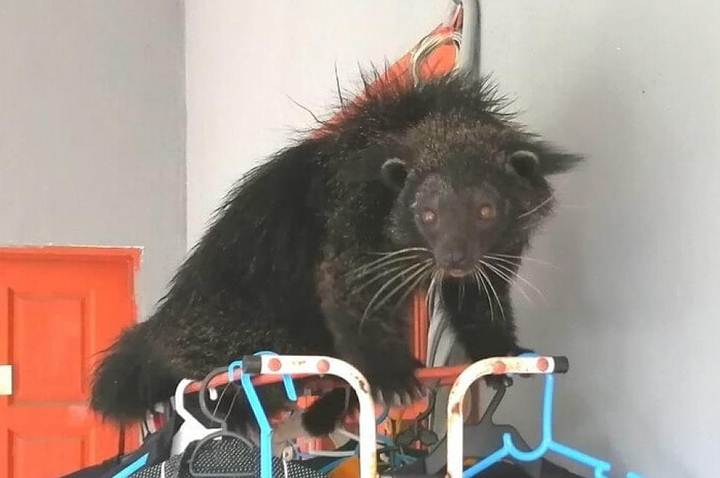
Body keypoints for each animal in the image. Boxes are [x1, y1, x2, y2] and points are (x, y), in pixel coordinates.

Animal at [90, 74, 580, 435]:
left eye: (485, 211)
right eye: (428, 214)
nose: (454, 258)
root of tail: (162, 326)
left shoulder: (497, 247)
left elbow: (479, 296)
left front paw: (495, 351)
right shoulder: (353, 216)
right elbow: (349, 289)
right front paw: (388, 371)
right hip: (239, 330)